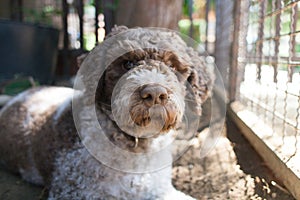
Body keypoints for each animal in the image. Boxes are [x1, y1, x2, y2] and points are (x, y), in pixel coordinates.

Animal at [0, 25, 213, 199]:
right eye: (128, 64)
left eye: (172, 66)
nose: (154, 93)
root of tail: (16, 97)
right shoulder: (77, 191)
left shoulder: (161, 189)